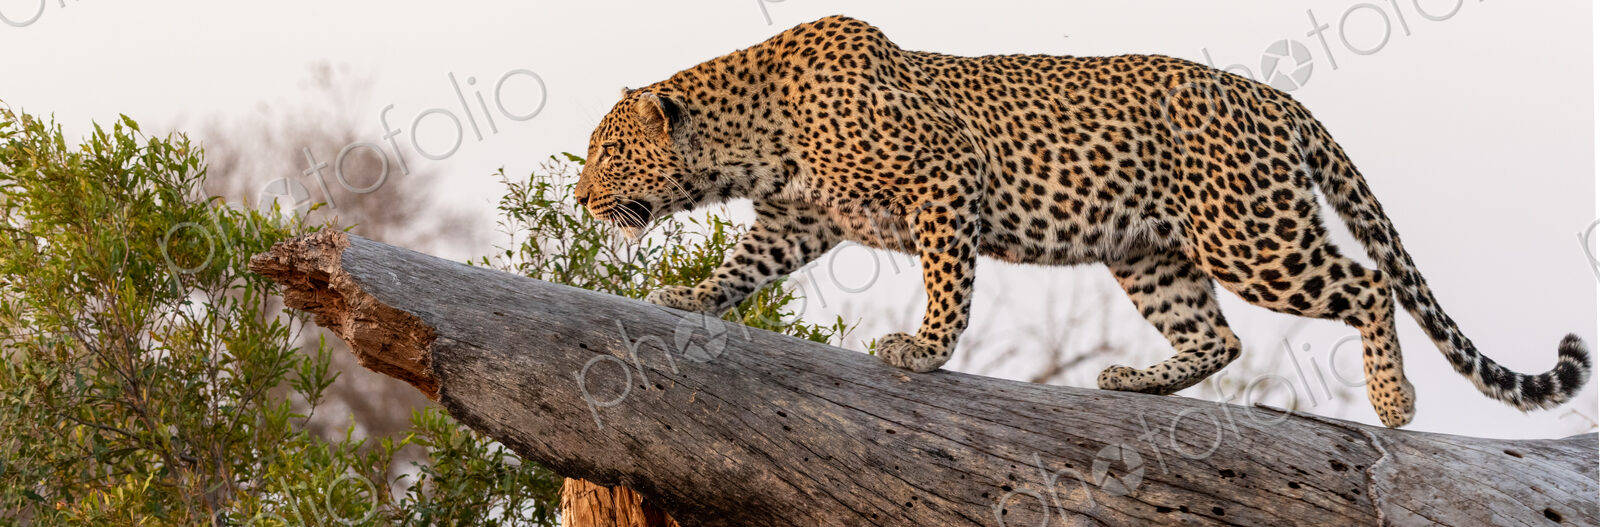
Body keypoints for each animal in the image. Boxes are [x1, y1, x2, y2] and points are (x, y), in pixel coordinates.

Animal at [572, 15, 1591, 427]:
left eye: (605, 152)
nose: (580, 199)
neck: (753, 137)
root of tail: (1275, 96)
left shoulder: (945, 179)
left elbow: (949, 284)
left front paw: (923, 352)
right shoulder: (798, 217)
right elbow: (742, 265)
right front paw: (688, 296)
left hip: (1249, 233)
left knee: (1368, 282)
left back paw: (1393, 402)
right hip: (1150, 252)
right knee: (1218, 337)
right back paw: (1135, 381)